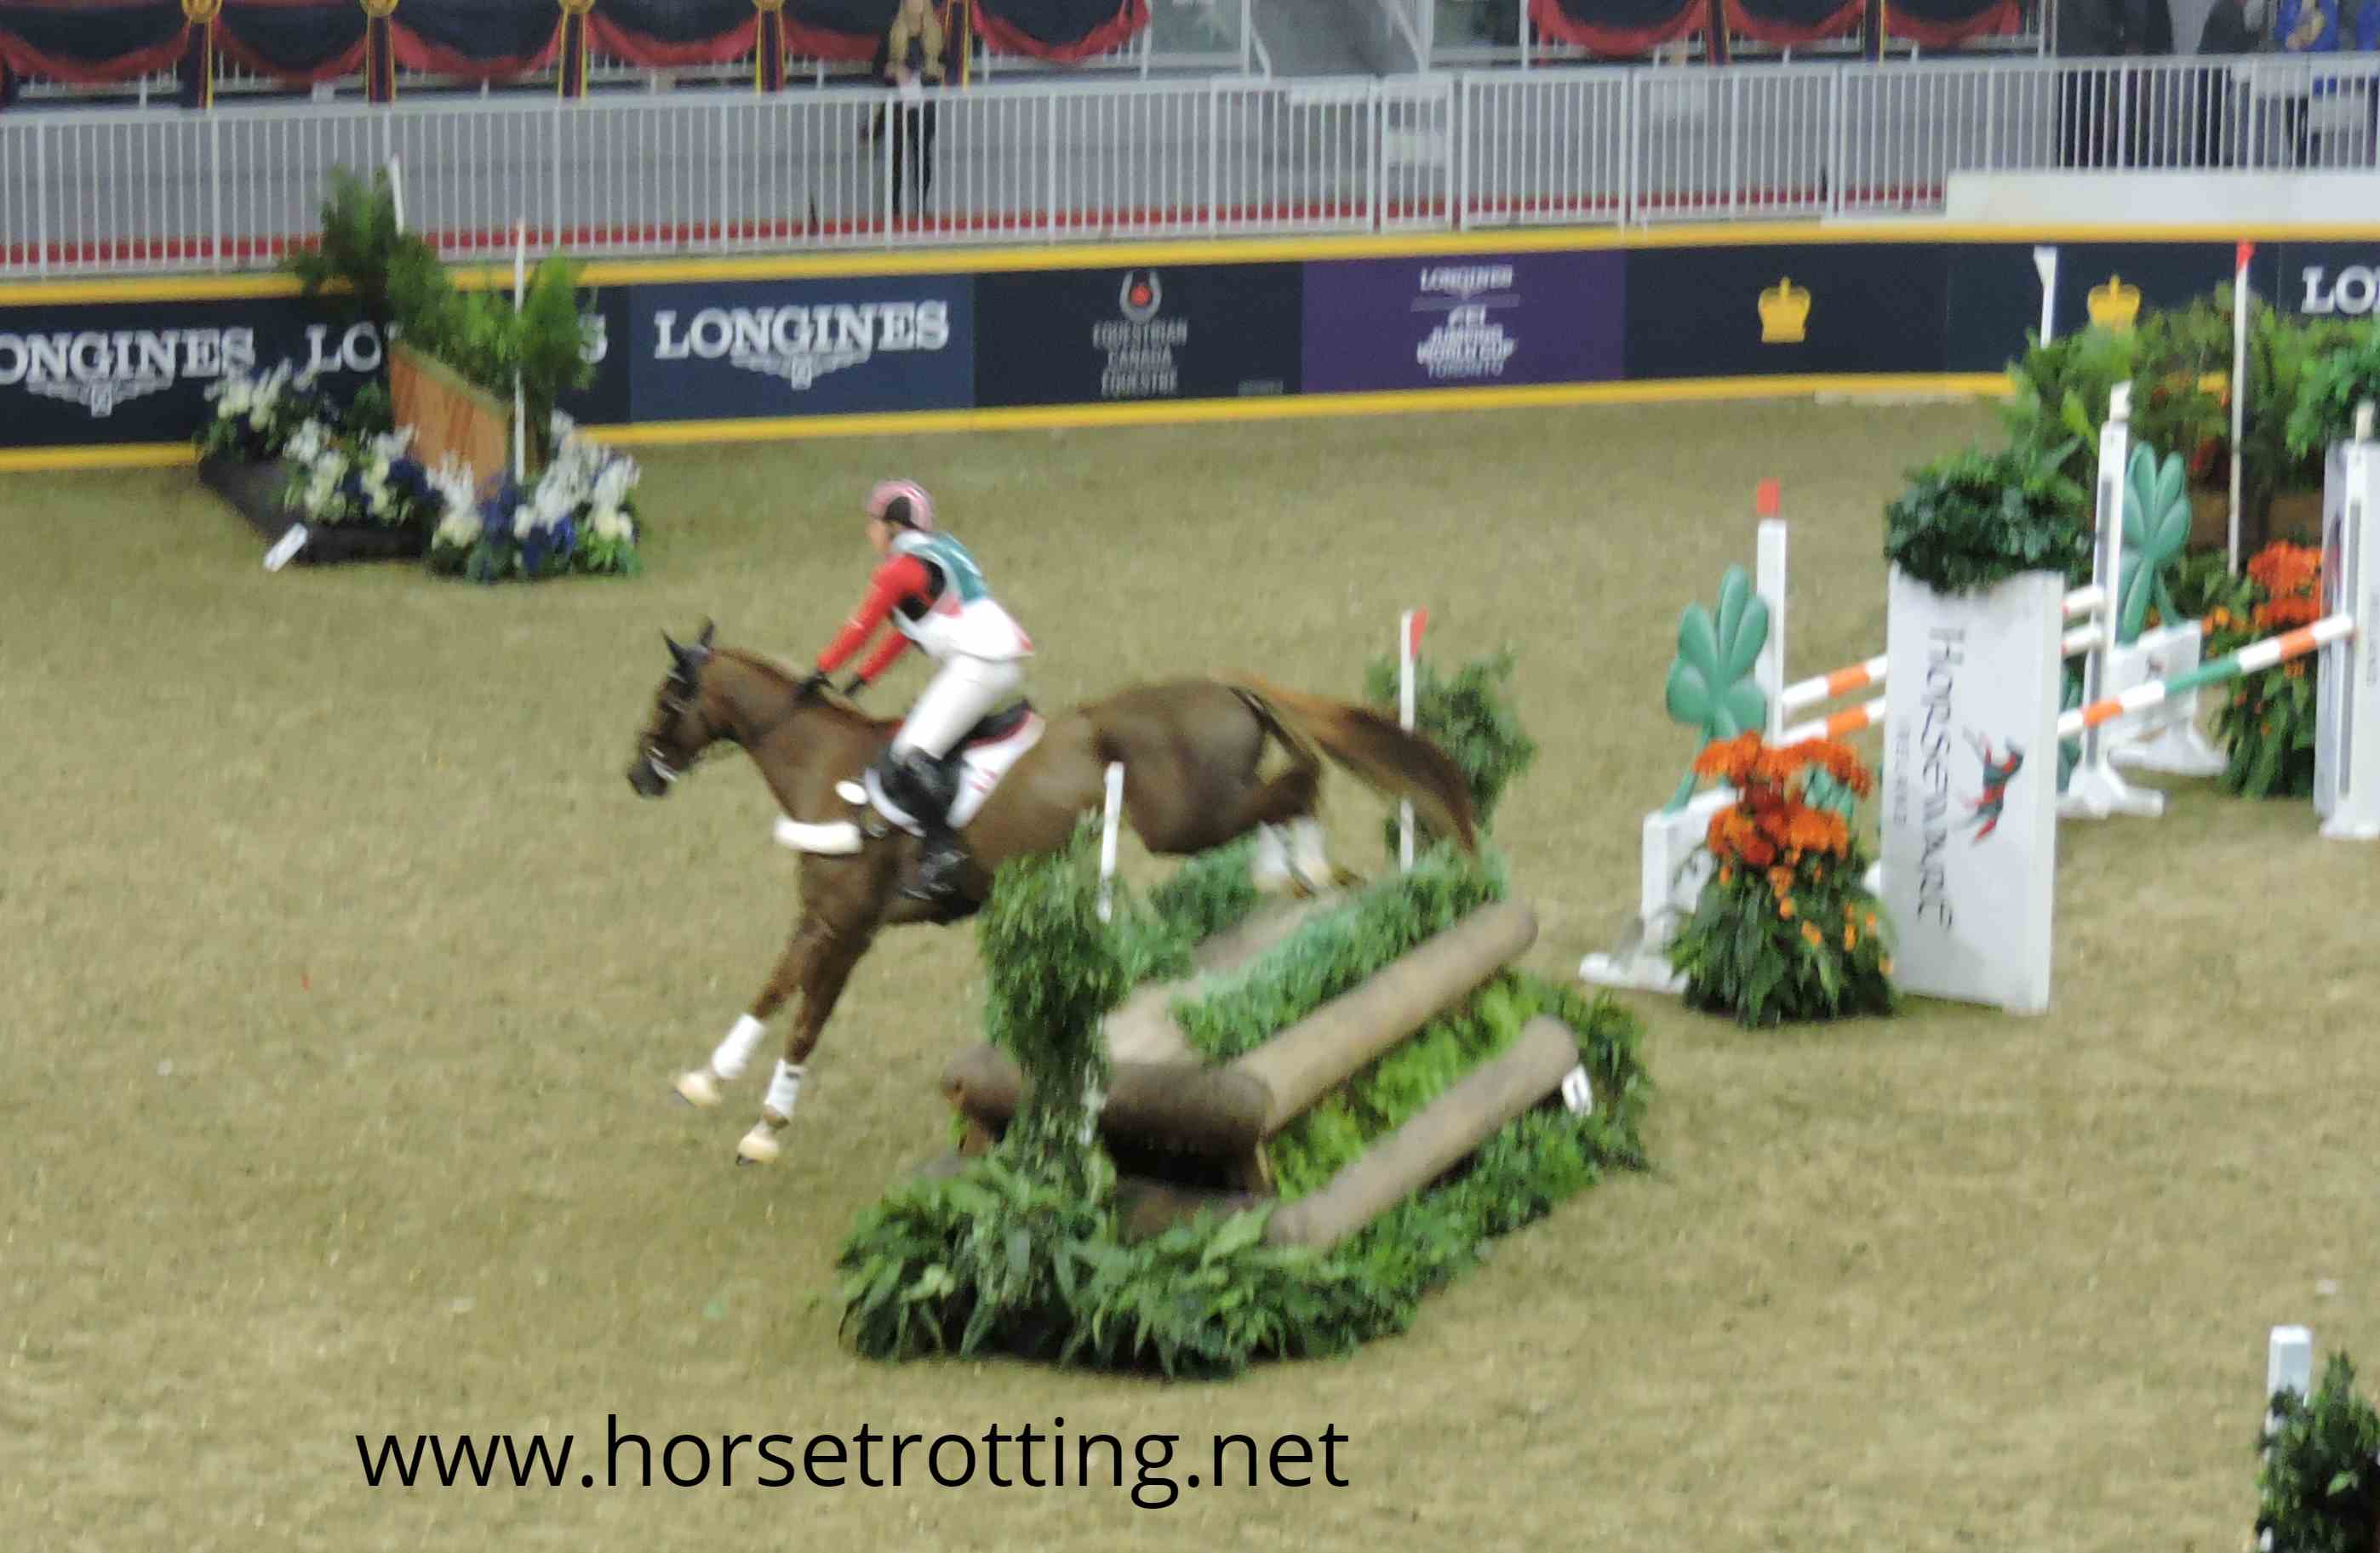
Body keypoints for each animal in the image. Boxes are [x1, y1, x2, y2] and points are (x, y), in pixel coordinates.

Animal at [625, 621, 1479, 1166]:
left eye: (667, 703)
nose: (638, 776)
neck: (824, 767)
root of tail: (1218, 685)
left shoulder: (847, 923)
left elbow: (800, 1013)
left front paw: (747, 1110)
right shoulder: (830, 921)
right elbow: (778, 992)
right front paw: (726, 1089)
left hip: (1181, 821)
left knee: (1299, 780)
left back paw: (1300, 866)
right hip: (1198, 813)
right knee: (1289, 785)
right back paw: (1294, 871)